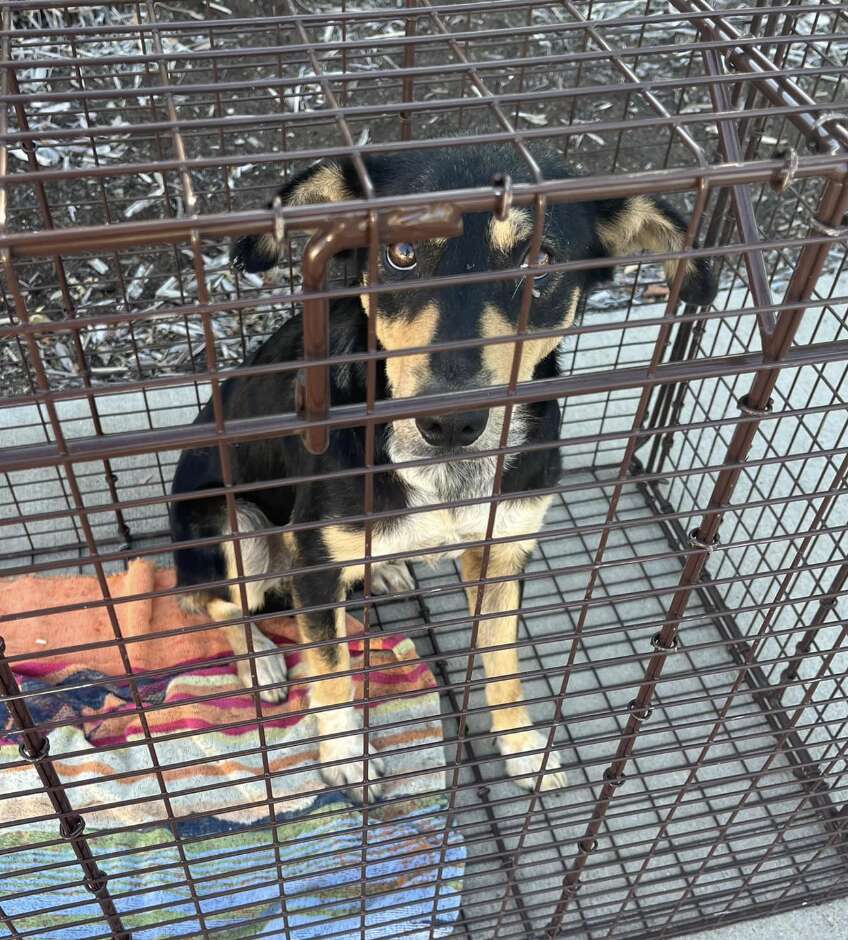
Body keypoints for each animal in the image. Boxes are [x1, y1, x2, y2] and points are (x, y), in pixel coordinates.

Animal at [167, 143, 716, 796]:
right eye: (401, 253)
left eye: (541, 263)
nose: (451, 423)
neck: (447, 478)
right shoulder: (314, 565)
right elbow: (331, 672)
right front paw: (346, 756)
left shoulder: (503, 550)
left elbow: (503, 663)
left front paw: (521, 744)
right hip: (236, 529)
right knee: (205, 602)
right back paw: (263, 662)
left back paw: (382, 571)